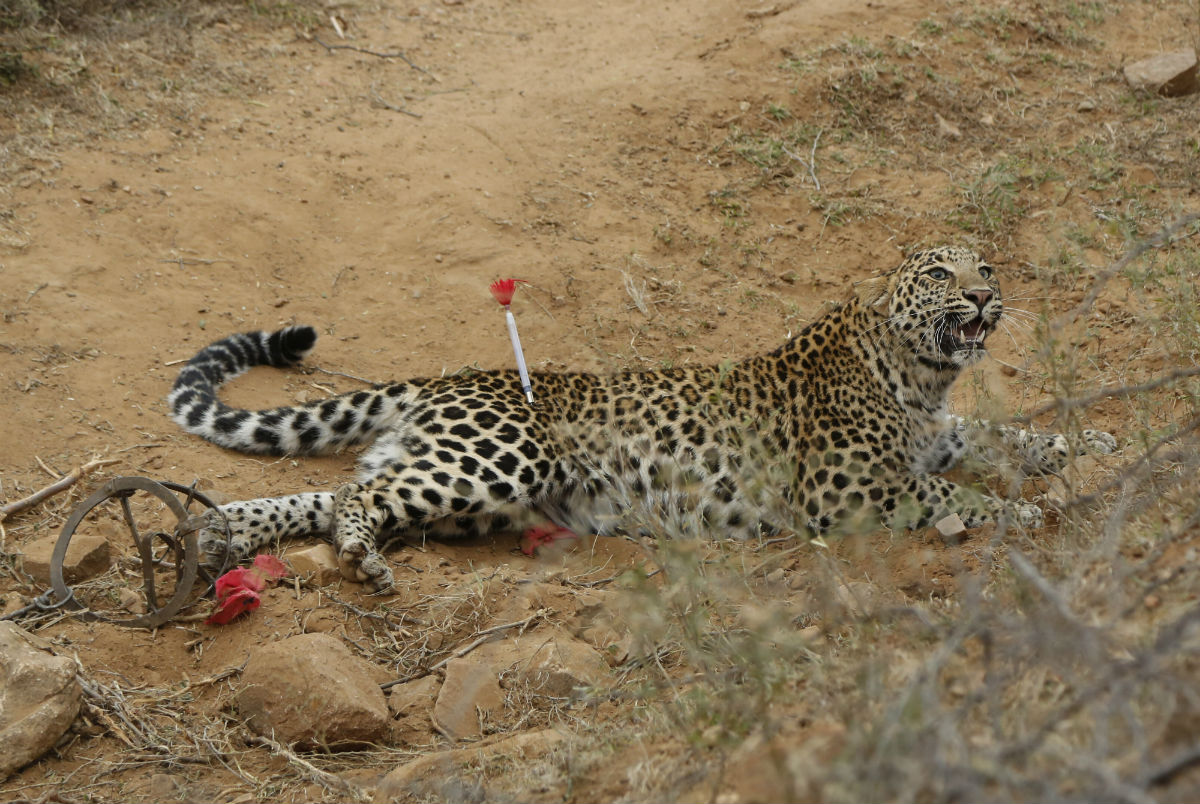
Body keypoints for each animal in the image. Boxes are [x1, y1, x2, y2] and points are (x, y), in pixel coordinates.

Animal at [169, 248, 1113, 595]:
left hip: (462, 484)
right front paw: (1029, 505)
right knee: (353, 504)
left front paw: (1084, 442)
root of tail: (446, 379)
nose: (985, 296)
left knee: (329, 496)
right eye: (940, 273)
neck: (919, 376)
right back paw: (360, 560)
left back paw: (224, 535)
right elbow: (956, 494)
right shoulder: (846, 494)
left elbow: (1000, 437)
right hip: (502, 457)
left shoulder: (939, 435)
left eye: (986, 266)